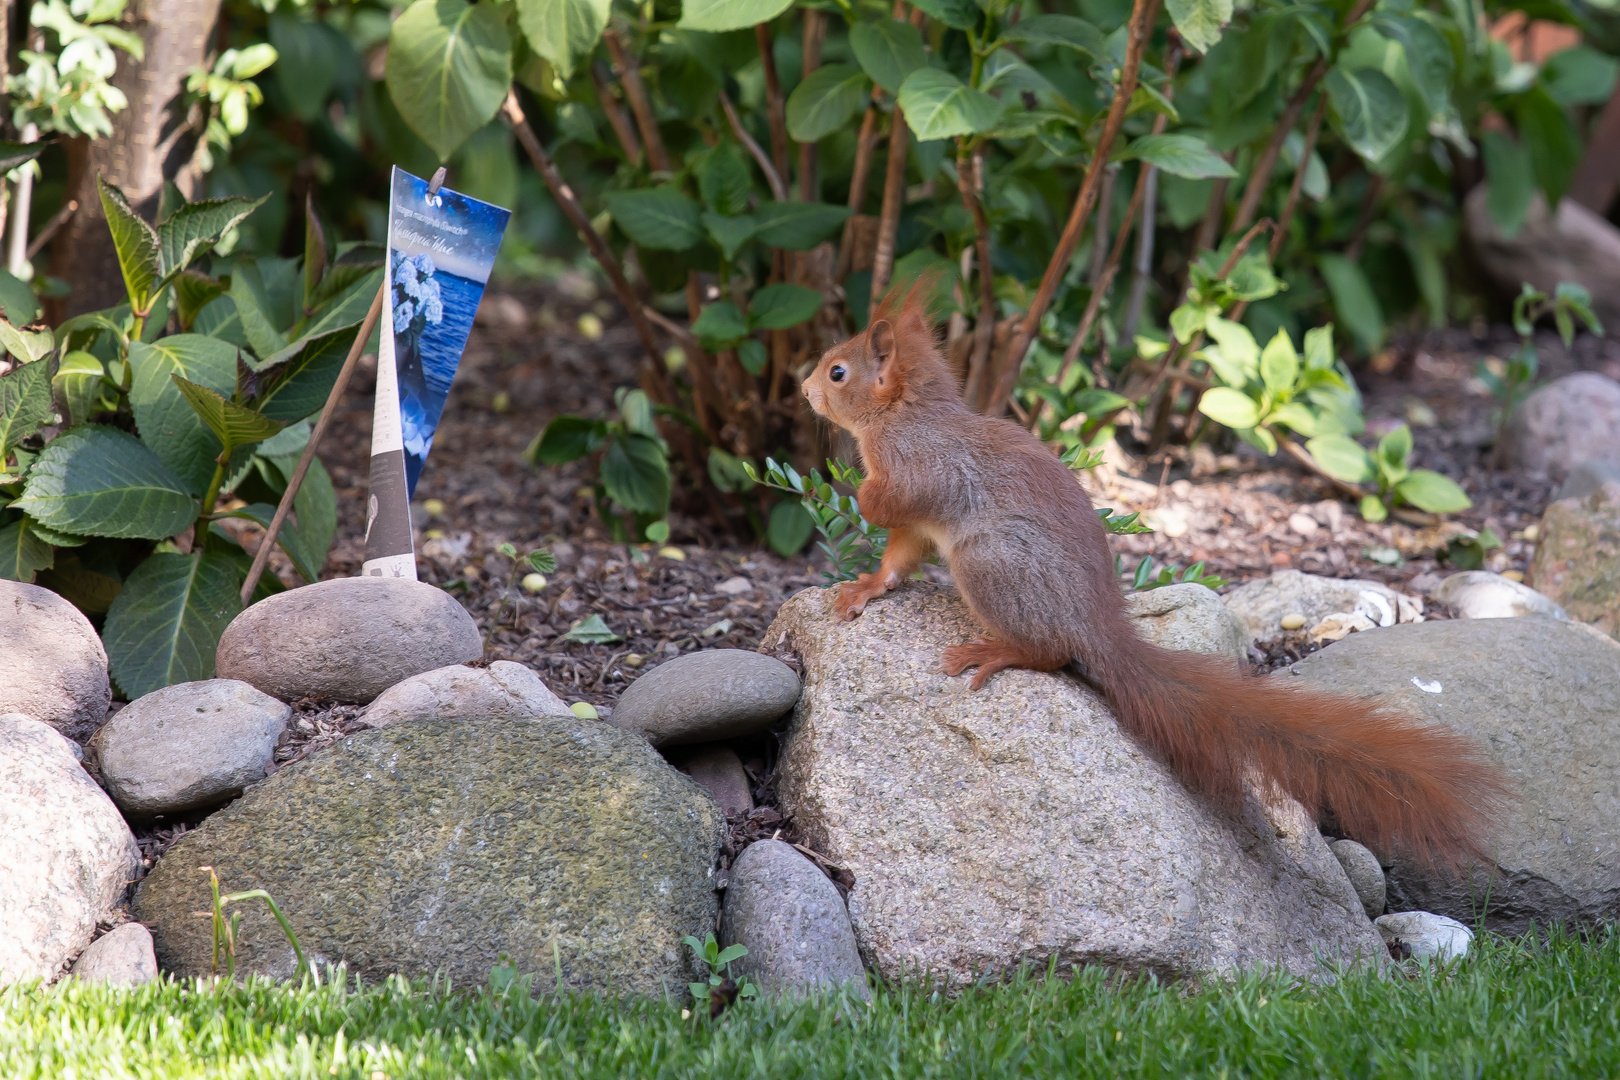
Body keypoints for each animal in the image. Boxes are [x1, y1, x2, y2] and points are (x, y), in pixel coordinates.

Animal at [803, 283, 1509, 867]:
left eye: (838, 371)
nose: (803, 390)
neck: (905, 415)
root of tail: (1094, 626)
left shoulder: (922, 473)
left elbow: (891, 505)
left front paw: (854, 493)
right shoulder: (918, 528)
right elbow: (896, 559)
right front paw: (863, 589)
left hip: (991, 562)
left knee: (1051, 654)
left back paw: (998, 652)